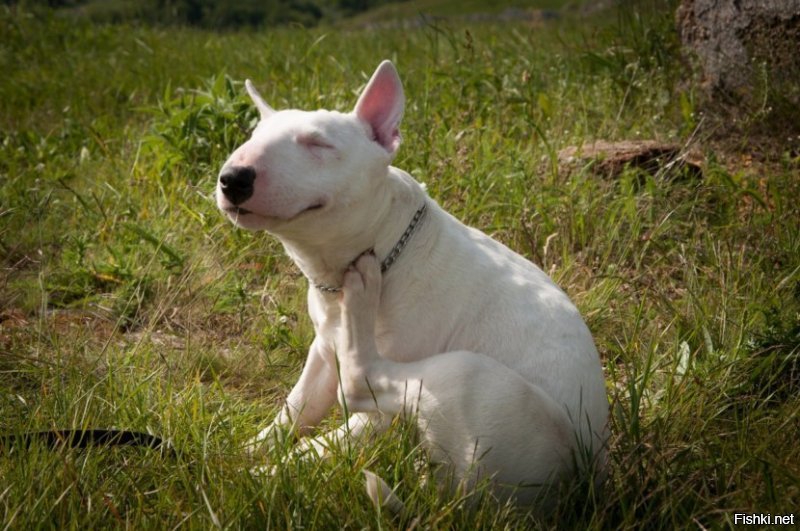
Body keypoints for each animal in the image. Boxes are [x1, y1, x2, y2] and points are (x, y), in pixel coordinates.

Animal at [217, 60, 608, 510]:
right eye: (251, 137)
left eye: (317, 143)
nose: (232, 179)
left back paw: (363, 292)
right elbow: (295, 407)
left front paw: (259, 476)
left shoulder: (379, 414)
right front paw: (249, 449)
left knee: (360, 380)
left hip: (470, 378)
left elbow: (325, 443)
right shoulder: (322, 347)